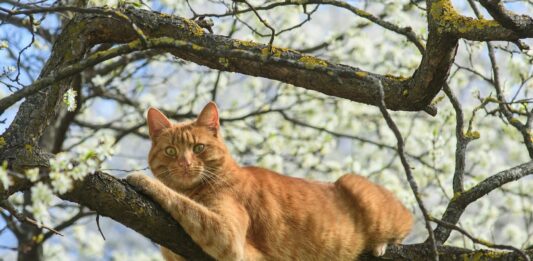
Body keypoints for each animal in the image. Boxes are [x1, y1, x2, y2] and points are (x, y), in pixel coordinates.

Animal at [127, 101, 414, 260]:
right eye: (171, 151)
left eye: (198, 148)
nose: (185, 163)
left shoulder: (228, 236)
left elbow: (184, 204)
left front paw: (140, 178)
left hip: (358, 187)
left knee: (406, 222)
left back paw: (381, 244)